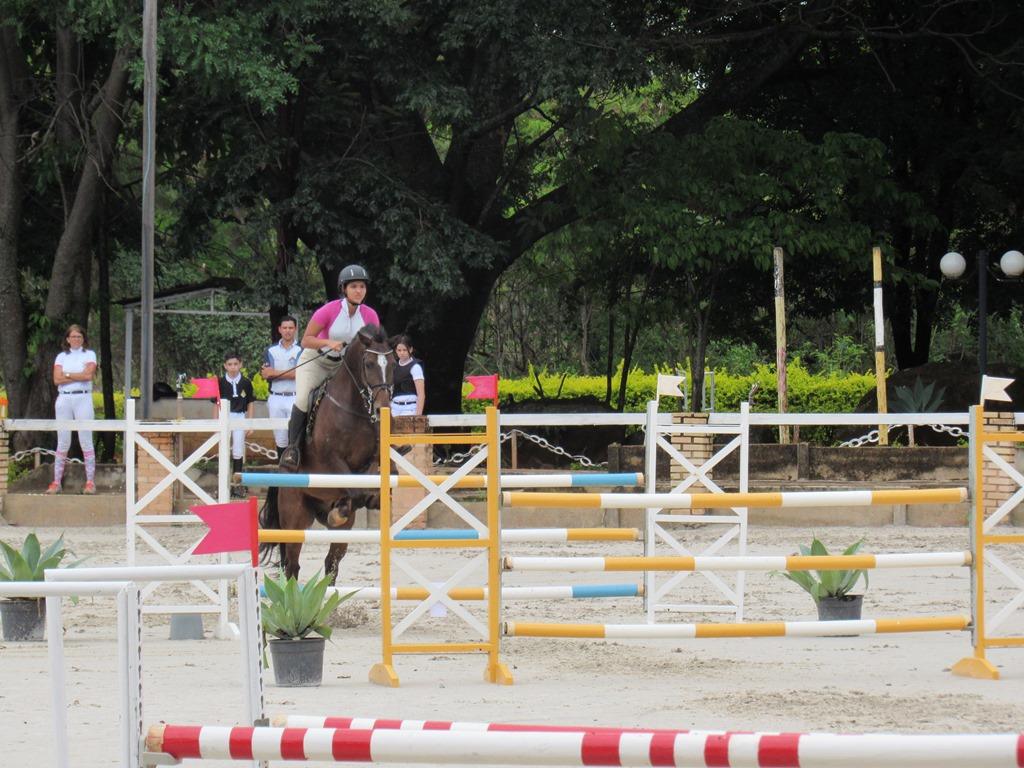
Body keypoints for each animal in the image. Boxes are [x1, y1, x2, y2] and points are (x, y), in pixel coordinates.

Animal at [260, 325, 395, 581]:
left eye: (393, 363)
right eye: (369, 364)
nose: (382, 409)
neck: (353, 408)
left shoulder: (371, 458)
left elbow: (370, 475)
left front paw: (369, 499)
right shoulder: (331, 459)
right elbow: (353, 487)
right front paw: (348, 505)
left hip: (339, 531)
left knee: (331, 564)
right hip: (295, 518)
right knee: (292, 566)